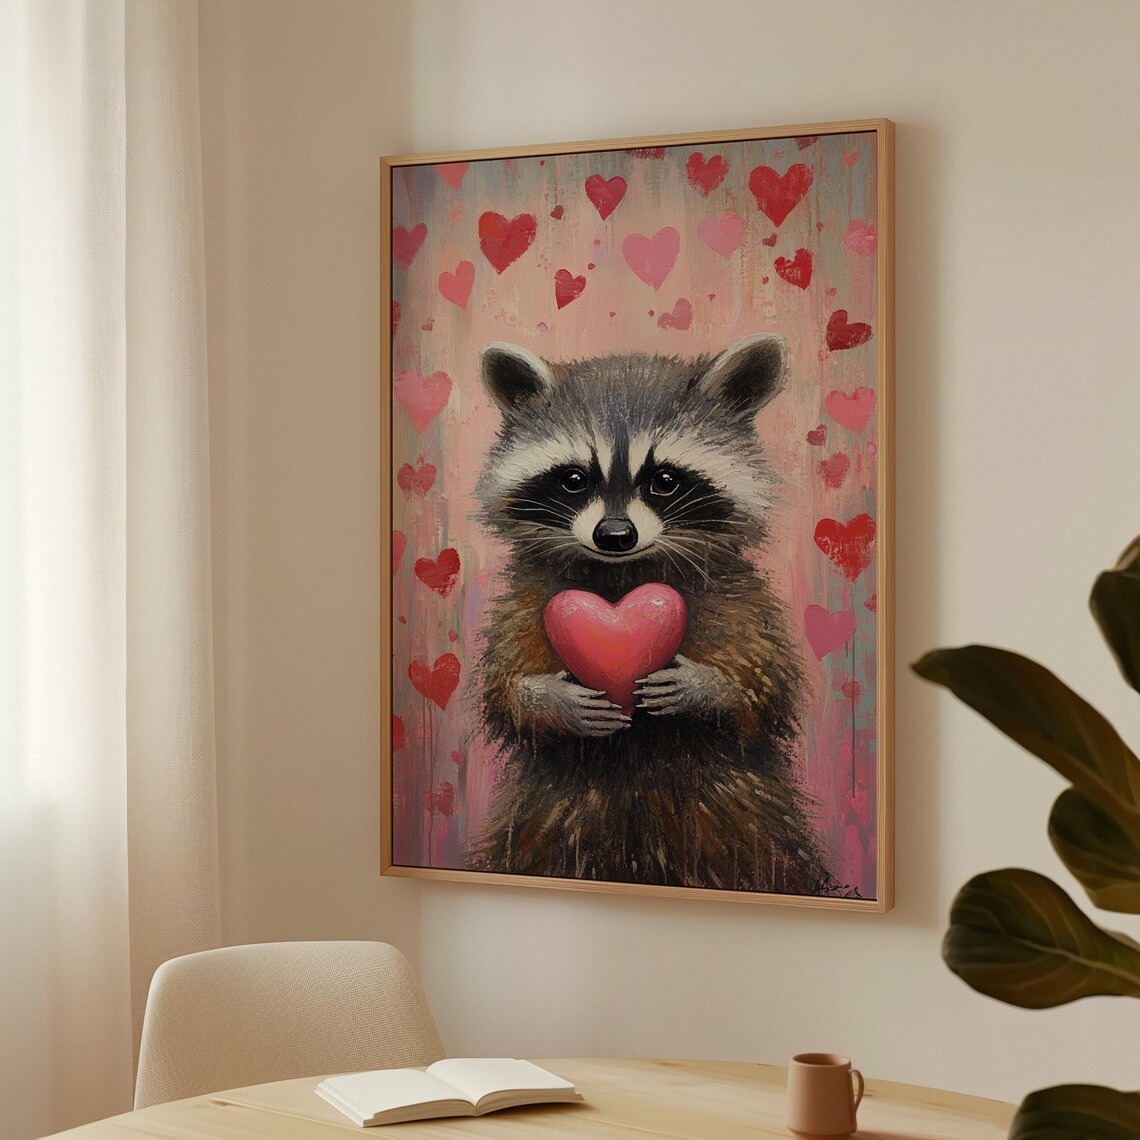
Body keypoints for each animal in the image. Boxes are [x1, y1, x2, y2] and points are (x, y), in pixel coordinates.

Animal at [469, 334, 832, 895]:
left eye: (664, 479)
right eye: (574, 479)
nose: (614, 535)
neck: (622, 575)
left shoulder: (740, 598)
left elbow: (769, 690)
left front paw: (705, 688)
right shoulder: (525, 599)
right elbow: (502, 690)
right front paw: (547, 698)